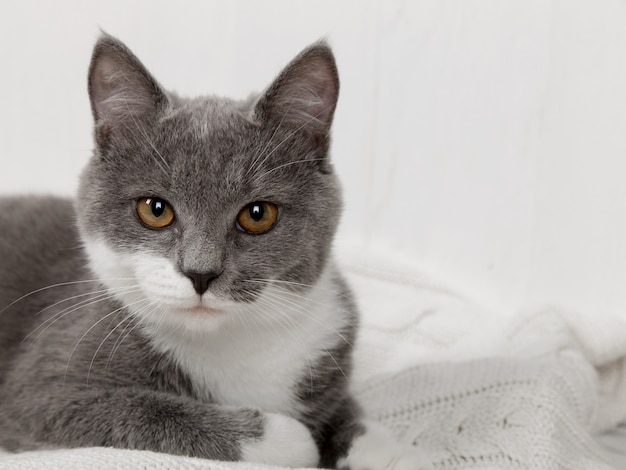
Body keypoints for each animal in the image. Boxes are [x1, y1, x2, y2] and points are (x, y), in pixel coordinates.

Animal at [0, 34, 424, 470]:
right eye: (155, 209)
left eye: (258, 214)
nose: (200, 273)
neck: (234, 339)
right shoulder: (40, 391)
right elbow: (140, 410)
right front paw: (289, 437)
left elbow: (344, 405)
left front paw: (387, 451)